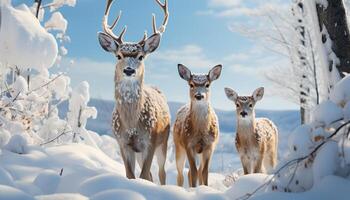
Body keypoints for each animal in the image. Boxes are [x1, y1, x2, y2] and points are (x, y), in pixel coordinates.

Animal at [97, 0, 171, 185]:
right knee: (152, 174)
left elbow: (144, 175)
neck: (131, 125)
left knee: (161, 173)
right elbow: (130, 175)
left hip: (164, 141)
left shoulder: (150, 141)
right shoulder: (122, 143)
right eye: (118, 55)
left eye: (140, 56)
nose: (129, 70)